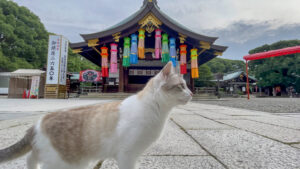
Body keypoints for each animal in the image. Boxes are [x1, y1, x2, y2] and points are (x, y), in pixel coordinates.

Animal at [0, 62, 192, 169]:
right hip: (60, 162)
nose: (190, 93)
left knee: (31, 158)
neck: (157, 112)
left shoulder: (134, 155)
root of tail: (36, 124)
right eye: (181, 86)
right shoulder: (127, 154)